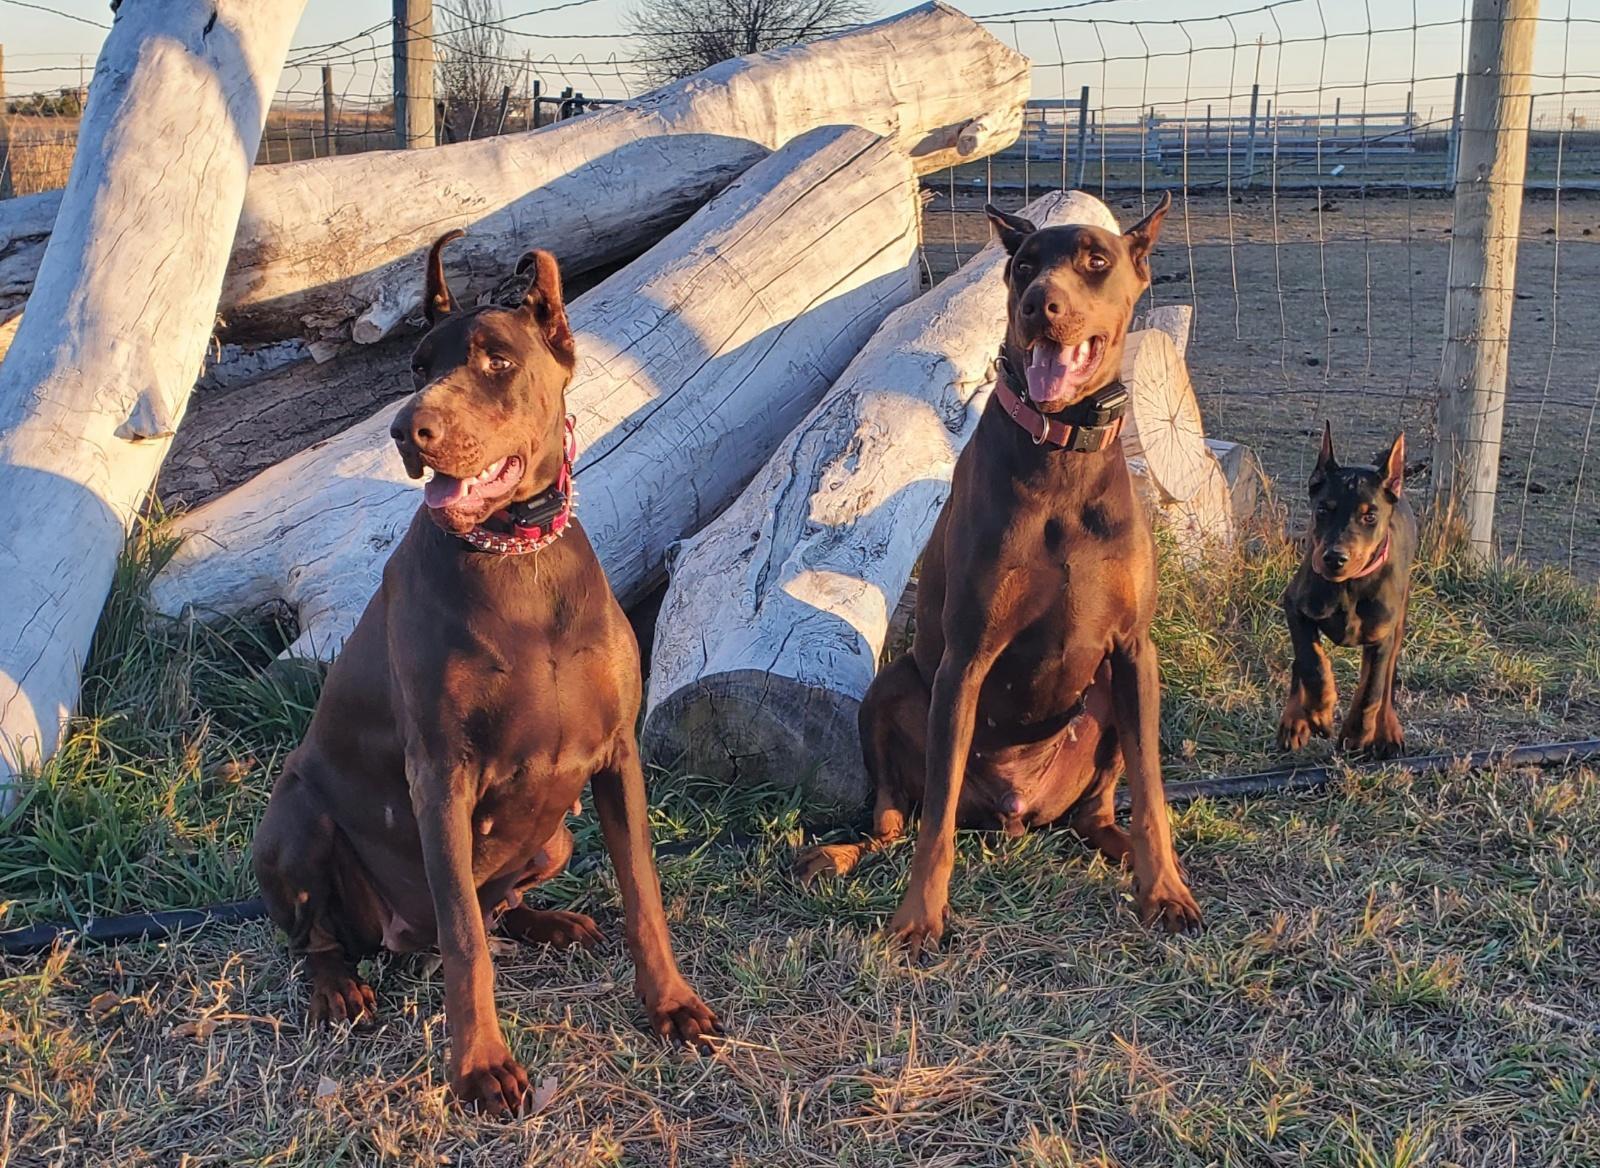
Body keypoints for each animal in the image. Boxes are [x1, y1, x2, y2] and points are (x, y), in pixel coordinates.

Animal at [253, 233, 718, 1116]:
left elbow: (642, 890)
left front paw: (671, 1003)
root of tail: (401, 937)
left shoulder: (617, 757)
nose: (409, 429)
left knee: (500, 903)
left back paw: (551, 923)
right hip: (293, 814)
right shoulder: (441, 776)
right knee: (327, 936)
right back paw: (339, 988)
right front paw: (481, 1066)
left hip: (558, 834)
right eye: (415, 367)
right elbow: (467, 939)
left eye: (497, 360)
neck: (516, 557)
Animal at [795, 192, 1201, 950]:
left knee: (1098, 816)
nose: (1041, 304)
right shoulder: (967, 656)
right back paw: (833, 855)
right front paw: (919, 918)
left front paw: (1166, 889)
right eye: (1023, 266)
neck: (1062, 451)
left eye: (1096, 261)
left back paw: (1128, 856)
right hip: (894, 690)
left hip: (1104, 696)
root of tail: (1016, 811)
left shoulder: (1134, 651)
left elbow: (1153, 792)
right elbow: (934, 820)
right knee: (897, 820)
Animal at [1278, 423, 1415, 759]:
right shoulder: (1296, 605)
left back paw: (1388, 731)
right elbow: (1311, 662)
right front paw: (1319, 712)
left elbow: (1372, 689)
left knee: (1387, 679)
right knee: (1300, 663)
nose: (1334, 558)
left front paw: (1356, 733)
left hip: (1400, 618)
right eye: (1323, 510)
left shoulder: (1382, 634)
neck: (1349, 586)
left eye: (1370, 516)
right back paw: (1294, 722)